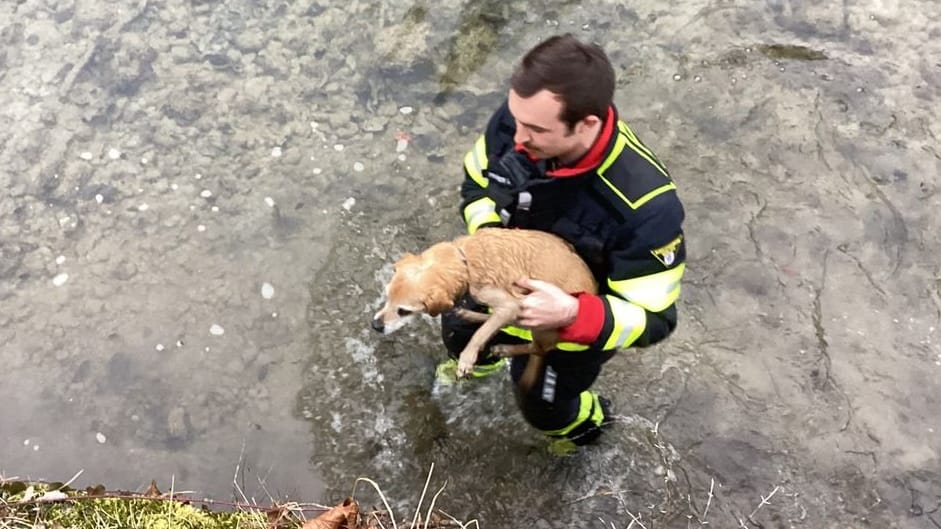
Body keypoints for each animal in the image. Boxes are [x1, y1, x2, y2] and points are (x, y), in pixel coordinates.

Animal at [370, 229, 600, 390]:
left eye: (404, 311)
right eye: (386, 296)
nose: (375, 326)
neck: (465, 262)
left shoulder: (510, 305)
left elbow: (479, 335)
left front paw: (466, 358)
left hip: (541, 319)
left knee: (537, 348)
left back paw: (505, 348)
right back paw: (471, 315)